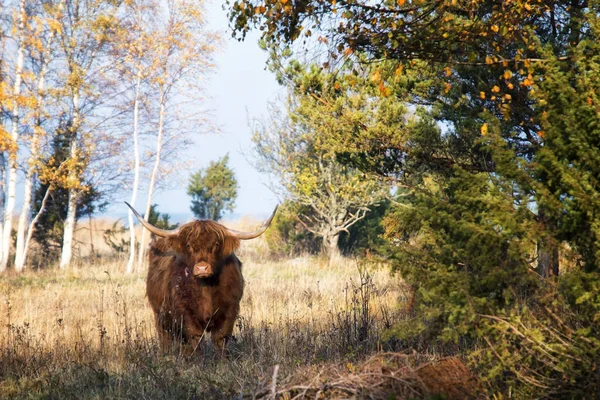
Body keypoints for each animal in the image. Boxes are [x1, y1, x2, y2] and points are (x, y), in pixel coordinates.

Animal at [127, 203, 278, 354]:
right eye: (189, 245)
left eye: (216, 244)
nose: (202, 268)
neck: (206, 287)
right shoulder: (185, 312)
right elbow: (195, 338)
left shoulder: (229, 309)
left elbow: (220, 338)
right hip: (160, 316)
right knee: (165, 338)